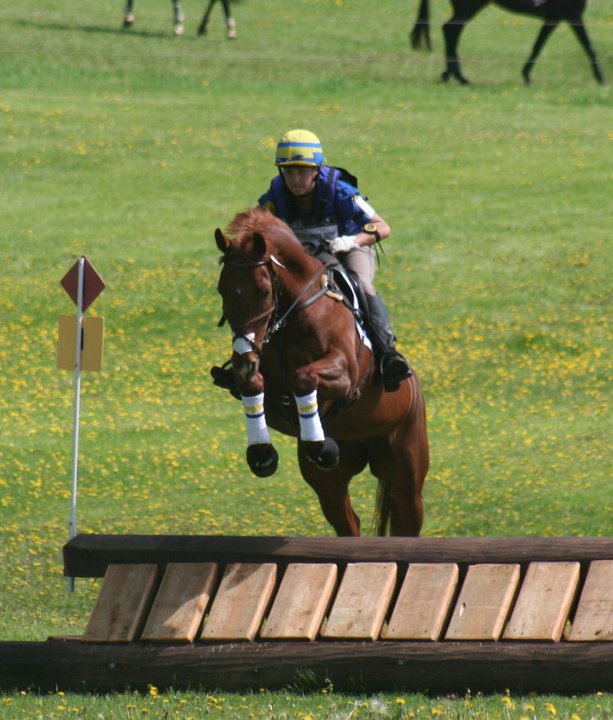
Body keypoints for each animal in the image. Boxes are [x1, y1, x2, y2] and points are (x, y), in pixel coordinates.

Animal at [214, 207, 429, 537]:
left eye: (263, 291)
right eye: (222, 290)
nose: (244, 359)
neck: (290, 314)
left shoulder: (345, 373)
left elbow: (304, 377)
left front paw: (318, 443)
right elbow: (254, 385)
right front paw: (262, 453)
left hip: (404, 466)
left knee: (407, 516)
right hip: (330, 481)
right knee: (347, 520)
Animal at [410, 0, 605, 85]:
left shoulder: (555, 18)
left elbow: (537, 46)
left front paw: (526, 75)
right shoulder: (571, 15)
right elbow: (589, 47)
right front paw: (602, 79)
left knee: (451, 31)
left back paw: (452, 75)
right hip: (469, 7)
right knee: (451, 30)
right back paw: (458, 76)